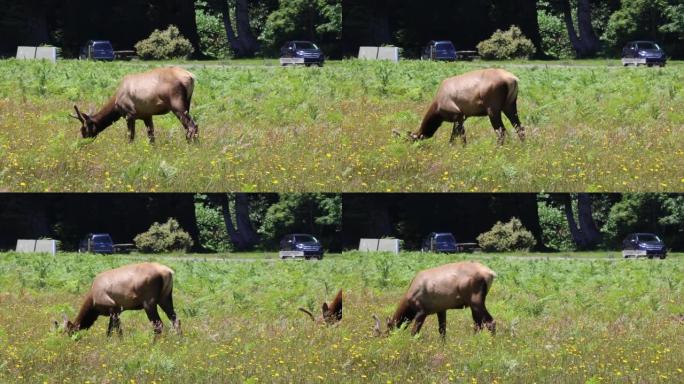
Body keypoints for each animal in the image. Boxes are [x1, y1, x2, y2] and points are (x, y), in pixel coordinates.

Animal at [398, 68, 528, 146]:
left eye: (412, 141)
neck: (437, 111)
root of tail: (513, 79)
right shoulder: (462, 117)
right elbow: (459, 135)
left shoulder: (457, 114)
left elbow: (457, 136)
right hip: (510, 105)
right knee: (519, 127)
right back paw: (523, 146)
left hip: (493, 107)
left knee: (501, 131)